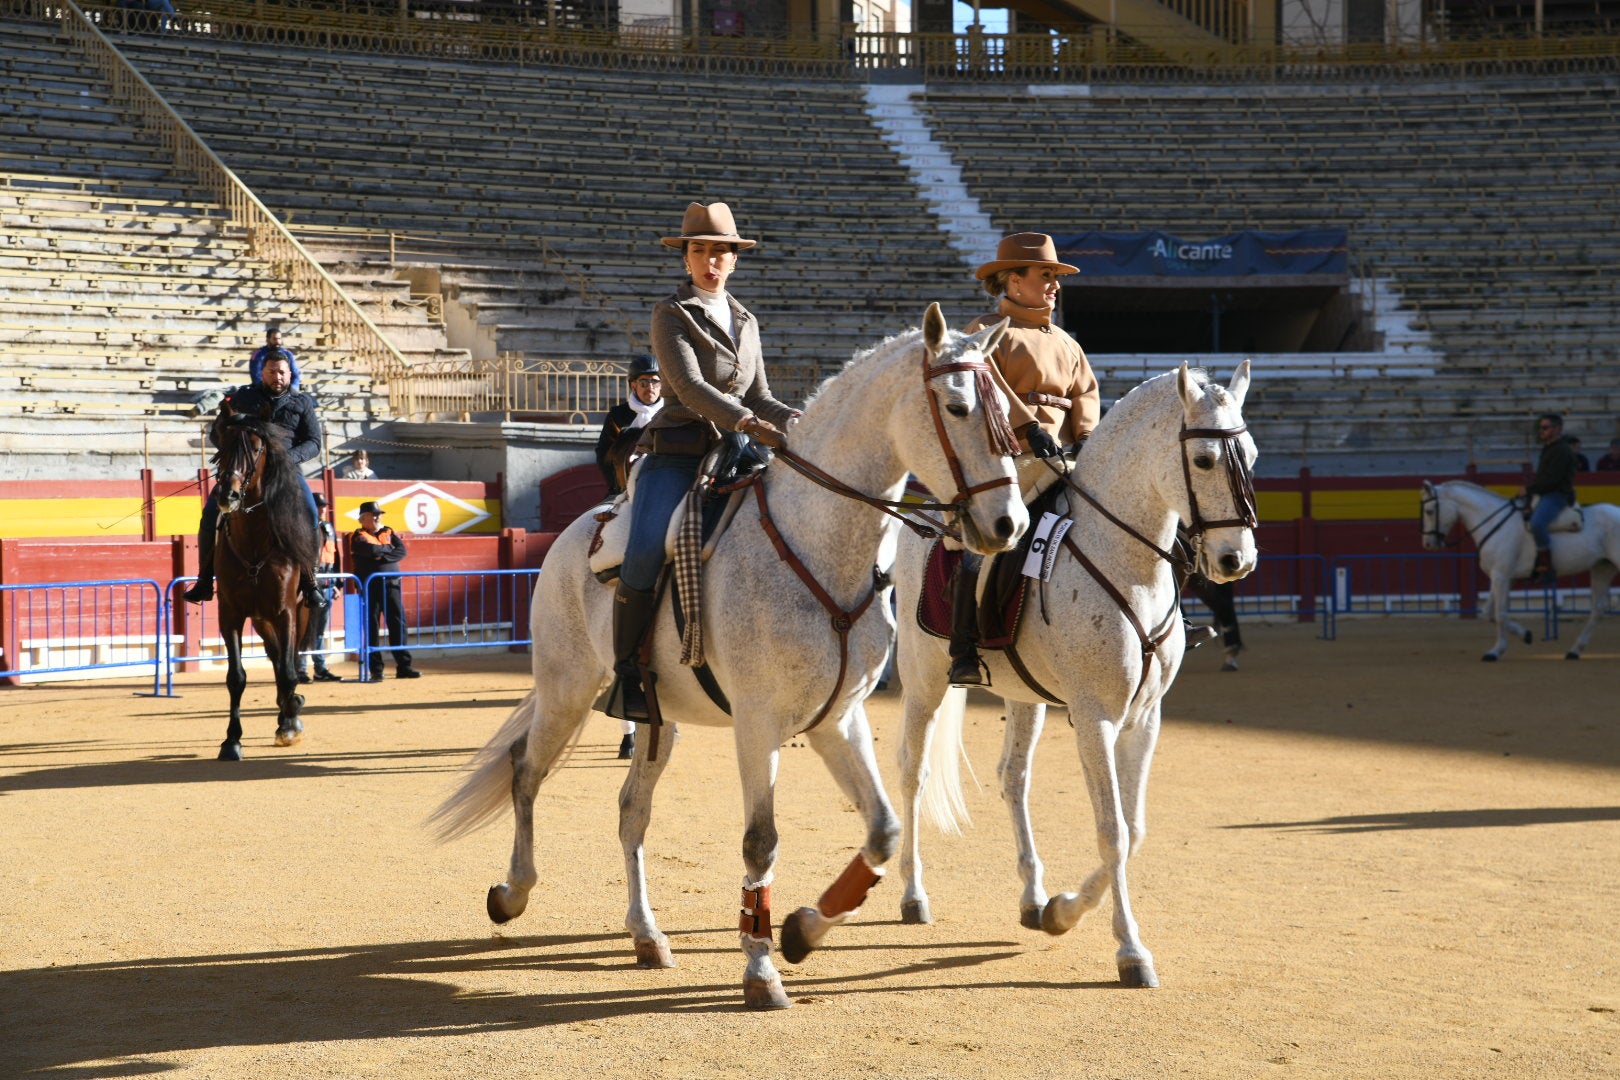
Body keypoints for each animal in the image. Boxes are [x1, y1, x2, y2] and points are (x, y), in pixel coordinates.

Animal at [210, 411, 317, 761]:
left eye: (256, 449)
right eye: (222, 445)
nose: (227, 495)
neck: (255, 541)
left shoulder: (286, 612)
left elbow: (288, 670)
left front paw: (290, 723)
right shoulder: (230, 615)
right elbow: (236, 677)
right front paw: (231, 740)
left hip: (298, 611)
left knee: (289, 660)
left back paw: (290, 713)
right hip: (260, 619)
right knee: (275, 656)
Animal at [430, 306, 1023, 1016]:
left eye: (1009, 412)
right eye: (958, 408)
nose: (1009, 525)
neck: (817, 546)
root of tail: (578, 529)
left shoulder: (837, 719)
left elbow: (881, 827)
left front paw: (801, 931)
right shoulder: (758, 724)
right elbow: (760, 841)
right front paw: (761, 970)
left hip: (654, 717)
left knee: (631, 810)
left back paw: (647, 935)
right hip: (567, 688)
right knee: (526, 771)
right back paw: (513, 893)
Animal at [894, 361, 1257, 990]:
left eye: (1253, 456)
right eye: (1206, 459)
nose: (1237, 560)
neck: (1127, 563)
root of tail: (929, 515)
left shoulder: (1145, 719)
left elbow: (1134, 829)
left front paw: (1062, 911)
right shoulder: (1095, 717)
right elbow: (1112, 831)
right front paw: (1130, 951)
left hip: (1024, 697)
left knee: (1013, 778)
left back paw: (1033, 896)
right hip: (924, 685)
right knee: (913, 774)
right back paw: (914, 895)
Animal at [1425, 479, 1613, 660]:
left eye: (1428, 511)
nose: (1427, 544)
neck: (1495, 523)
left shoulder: (1501, 575)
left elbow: (1500, 614)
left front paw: (1495, 651)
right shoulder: (1502, 577)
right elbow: (1488, 612)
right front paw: (1526, 635)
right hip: (1602, 568)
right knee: (1598, 608)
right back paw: (1574, 651)